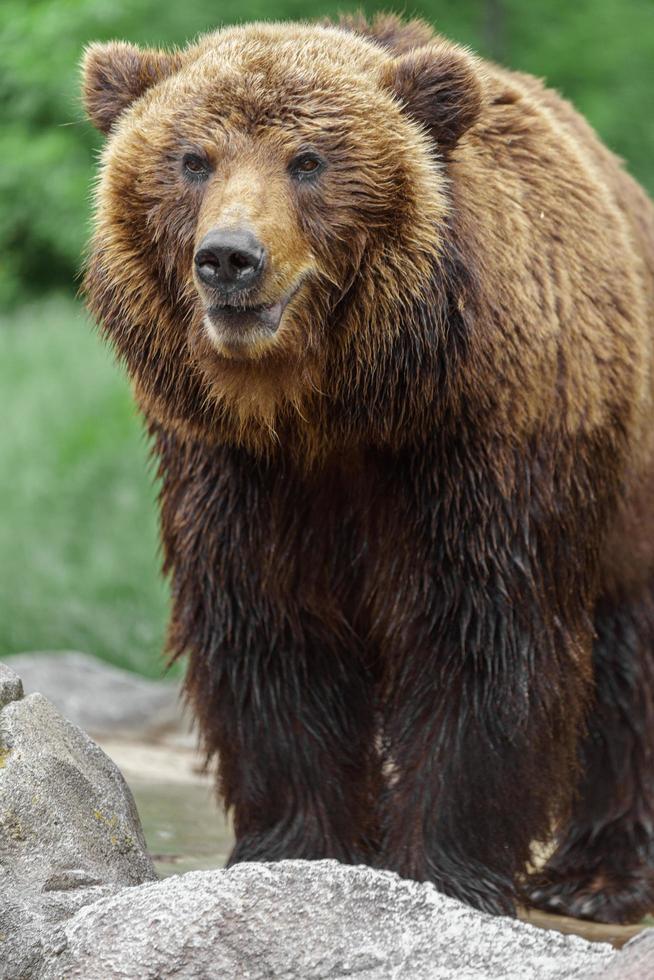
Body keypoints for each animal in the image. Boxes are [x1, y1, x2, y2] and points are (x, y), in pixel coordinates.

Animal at [80, 13, 654, 920]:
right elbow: (271, 632)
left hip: (627, 486)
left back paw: (594, 878)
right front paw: (300, 845)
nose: (230, 258)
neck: (338, 407)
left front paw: (443, 868)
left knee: (624, 664)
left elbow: (477, 636)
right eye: (193, 159)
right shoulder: (239, 470)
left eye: (308, 160)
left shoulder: (476, 448)